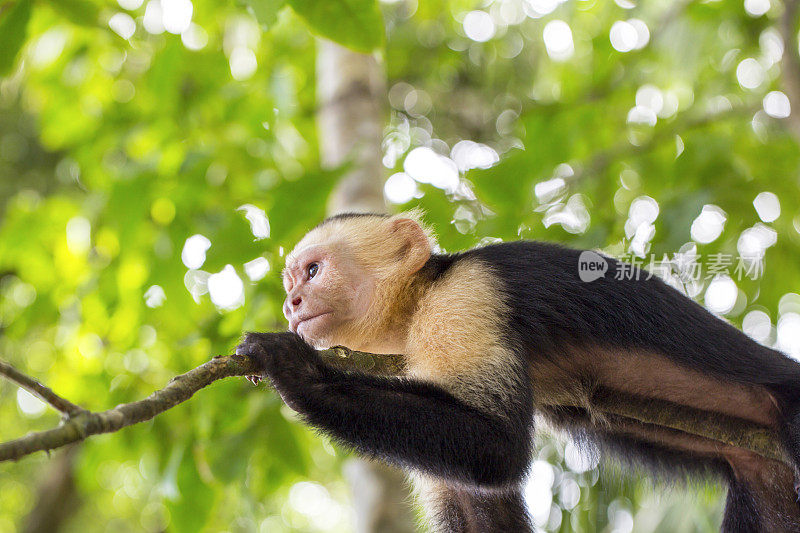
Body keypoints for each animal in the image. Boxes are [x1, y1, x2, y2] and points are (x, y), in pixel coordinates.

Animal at [238, 212, 800, 532]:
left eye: (313, 271)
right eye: (292, 281)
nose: (291, 303)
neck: (418, 301)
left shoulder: (464, 298)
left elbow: (499, 446)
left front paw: (298, 371)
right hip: (765, 474)